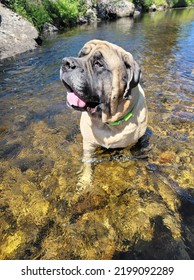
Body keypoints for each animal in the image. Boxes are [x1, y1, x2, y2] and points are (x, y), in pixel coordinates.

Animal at [59, 39, 148, 188]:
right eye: (81, 55)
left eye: (98, 64)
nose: (66, 62)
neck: (107, 123)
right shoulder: (88, 143)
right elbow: (87, 162)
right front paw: (85, 181)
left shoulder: (131, 143)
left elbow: (127, 152)